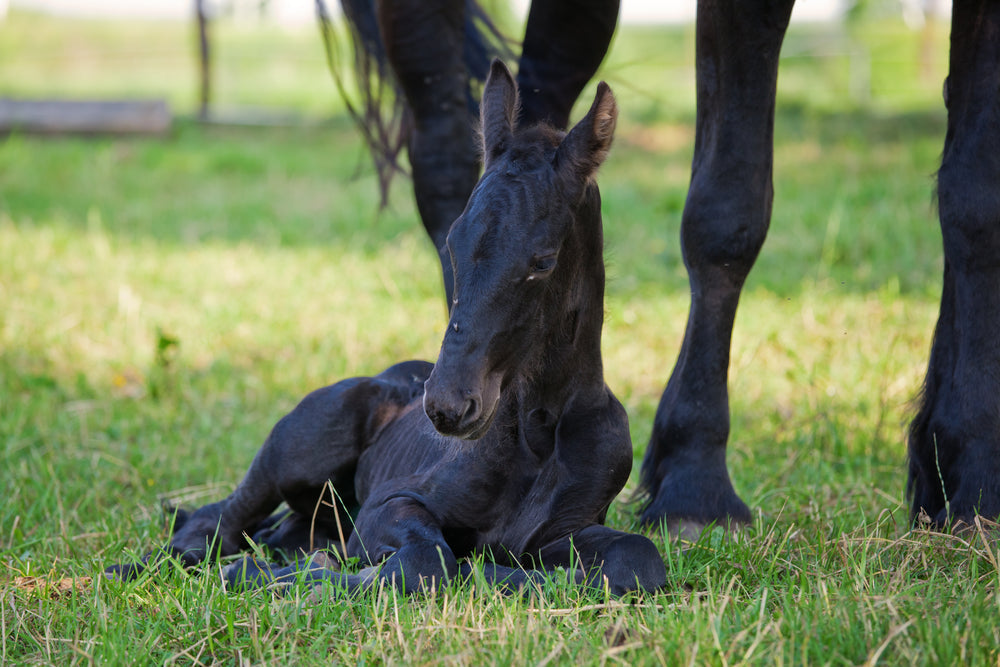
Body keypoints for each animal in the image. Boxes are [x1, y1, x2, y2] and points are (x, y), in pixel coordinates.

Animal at [106, 61, 668, 596]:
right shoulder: (395, 501)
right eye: (452, 241)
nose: (447, 406)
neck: (538, 431)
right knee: (215, 524)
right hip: (294, 451)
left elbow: (636, 558)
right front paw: (294, 578)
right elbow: (428, 562)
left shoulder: (565, 530)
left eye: (544, 262)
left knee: (275, 532)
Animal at [332, 0, 1000, 535]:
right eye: (454, 244)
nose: (449, 405)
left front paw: (970, 479)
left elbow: (972, 193)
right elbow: (726, 211)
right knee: (442, 143)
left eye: (543, 261)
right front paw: (694, 487)